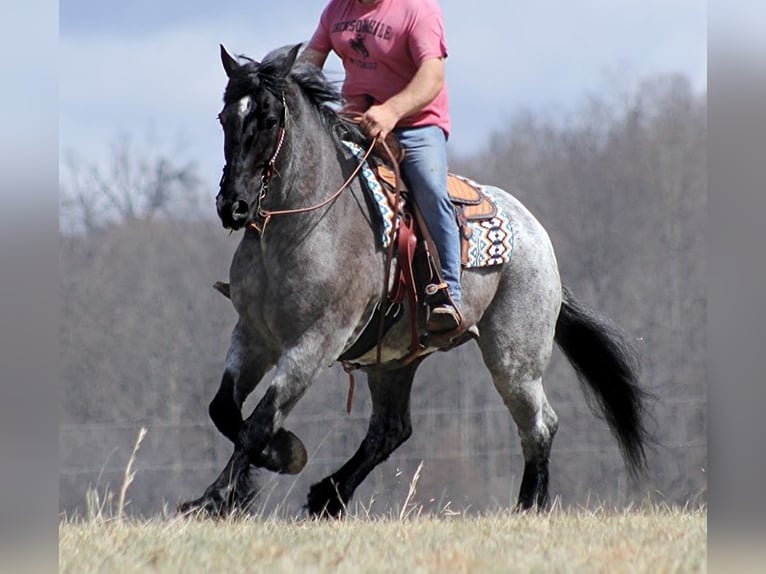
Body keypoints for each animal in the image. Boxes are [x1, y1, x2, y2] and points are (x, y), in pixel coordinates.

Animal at [178, 45, 648, 520]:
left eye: (271, 119)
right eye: (225, 117)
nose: (233, 205)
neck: (304, 224)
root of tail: (537, 239)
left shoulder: (315, 341)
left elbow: (260, 420)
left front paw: (219, 494)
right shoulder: (253, 334)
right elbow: (224, 410)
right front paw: (272, 462)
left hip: (514, 357)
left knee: (539, 425)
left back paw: (528, 507)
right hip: (394, 360)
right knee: (391, 429)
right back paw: (328, 494)